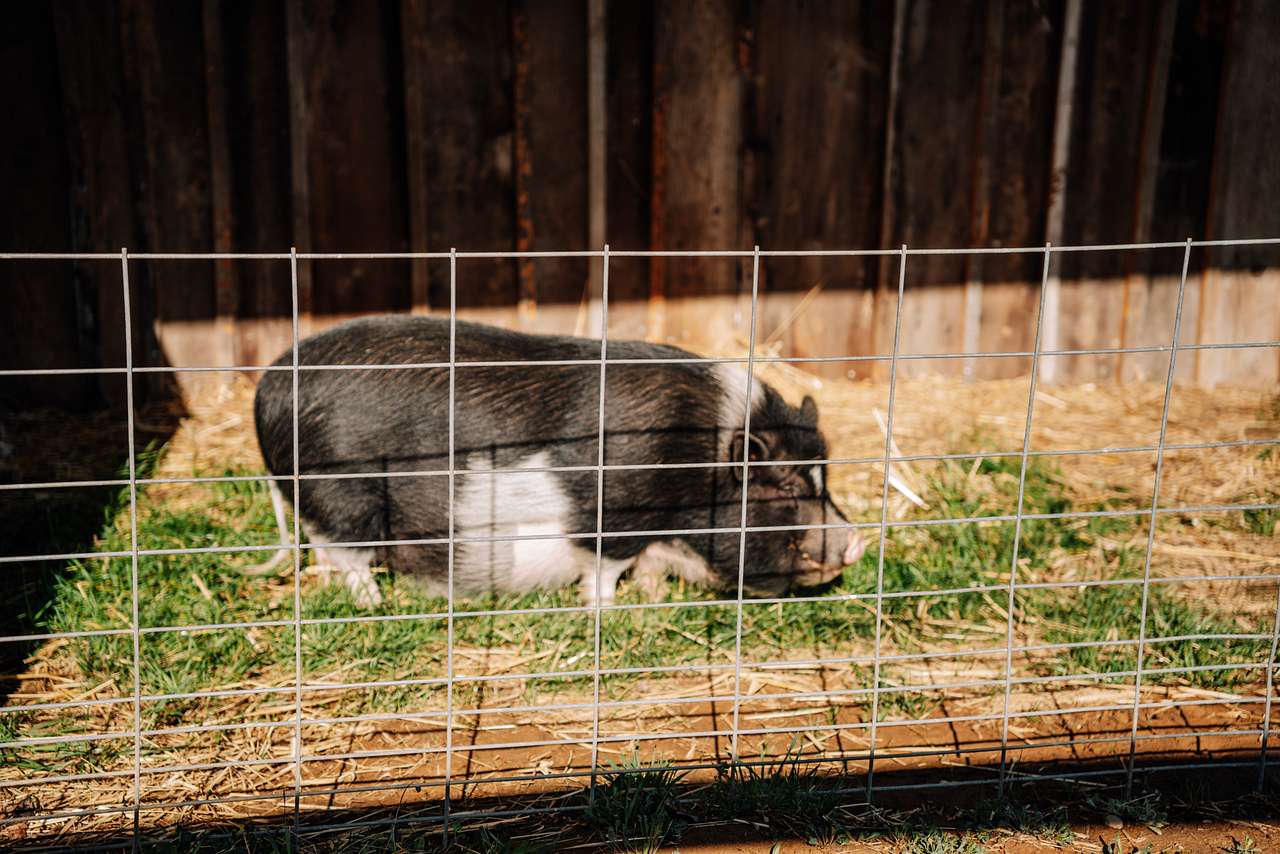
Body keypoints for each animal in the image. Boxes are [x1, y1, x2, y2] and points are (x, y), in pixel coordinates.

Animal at [248, 315, 864, 607]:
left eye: (824, 479)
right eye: (786, 489)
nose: (857, 542)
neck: (699, 460)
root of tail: (269, 394)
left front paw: (653, 595)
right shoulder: (616, 516)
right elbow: (605, 568)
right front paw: (609, 610)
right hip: (341, 496)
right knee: (342, 554)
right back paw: (376, 603)